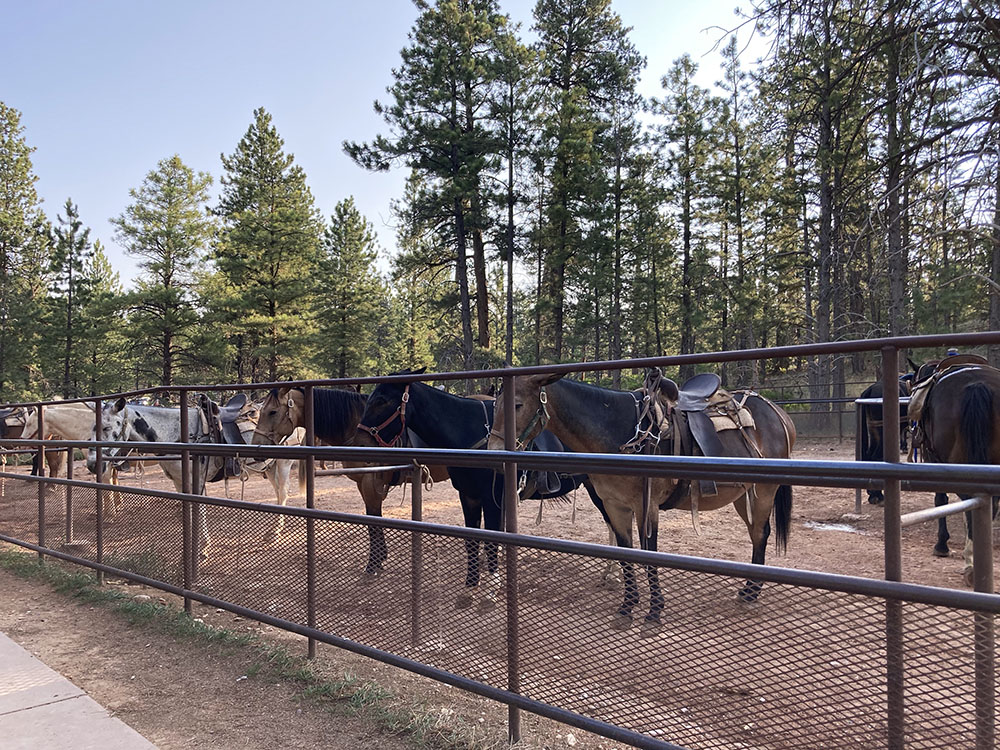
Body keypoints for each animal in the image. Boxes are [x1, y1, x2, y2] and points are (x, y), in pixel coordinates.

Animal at [252, 384, 452, 580]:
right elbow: (373, 521)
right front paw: (379, 559)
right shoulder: (363, 483)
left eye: (272, 412)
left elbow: (373, 520)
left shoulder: (370, 483)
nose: (255, 444)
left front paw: (373, 564)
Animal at [486, 374, 796, 632]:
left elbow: (649, 554)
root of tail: (777, 412)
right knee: (756, 534)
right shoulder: (615, 505)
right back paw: (748, 589)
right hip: (744, 495)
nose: (493, 452)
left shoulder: (647, 507)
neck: (618, 431)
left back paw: (752, 592)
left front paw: (654, 613)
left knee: (761, 533)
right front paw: (626, 608)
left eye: (516, 405)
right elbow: (625, 553)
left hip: (763, 492)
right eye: (495, 404)